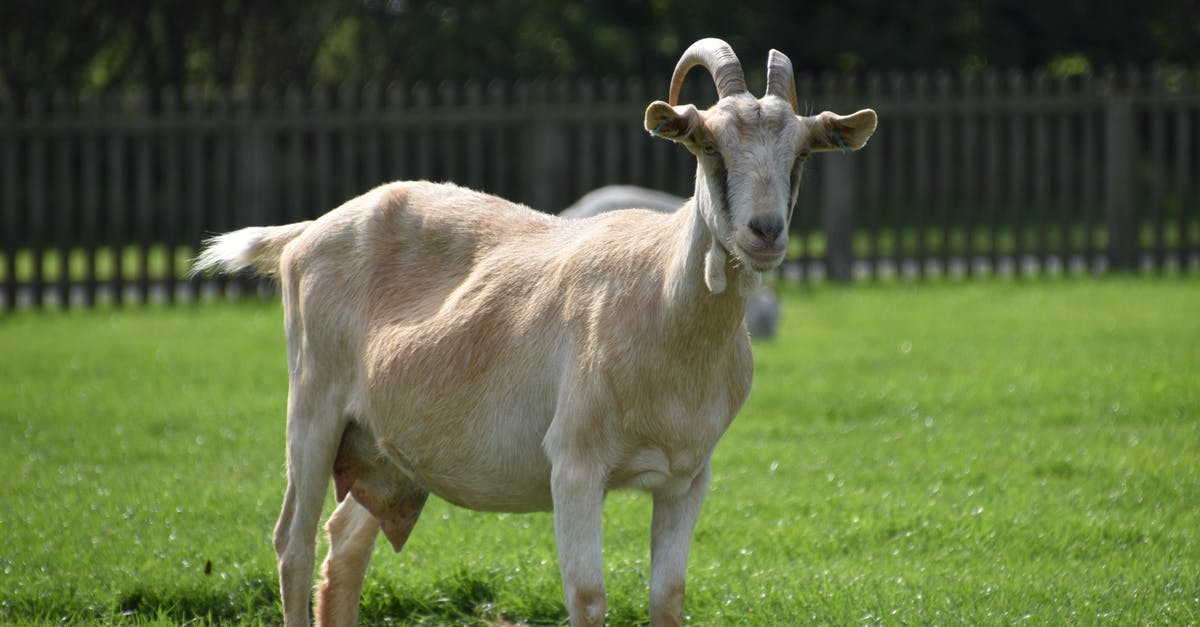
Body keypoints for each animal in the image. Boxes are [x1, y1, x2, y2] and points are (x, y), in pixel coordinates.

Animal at [192, 39, 878, 624]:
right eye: (709, 147)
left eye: (801, 155)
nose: (765, 232)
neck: (662, 305)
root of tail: (305, 234)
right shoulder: (573, 464)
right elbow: (589, 599)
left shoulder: (687, 477)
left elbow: (669, 599)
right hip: (313, 409)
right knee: (294, 544)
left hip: (385, 450)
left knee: (344, 546)